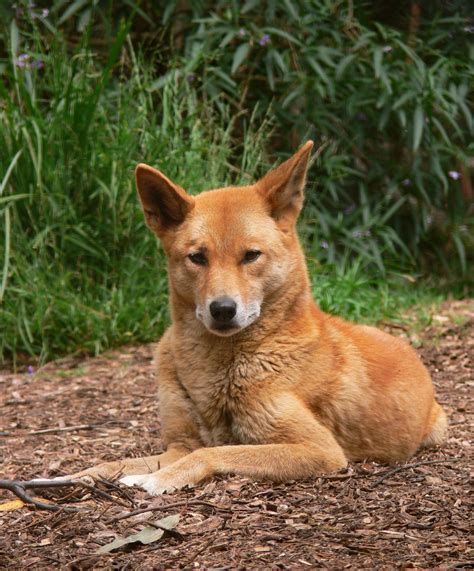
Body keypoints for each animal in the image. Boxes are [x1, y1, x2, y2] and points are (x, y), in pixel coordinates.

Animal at [68, 142, 446, 496]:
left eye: (251, 255)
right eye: (197, 257)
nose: (222, 308)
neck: (221, 368)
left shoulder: (320, 449)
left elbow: (210, 453)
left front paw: (157, 479)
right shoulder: (179, 444)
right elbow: (116, 462)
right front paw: (79, 476)